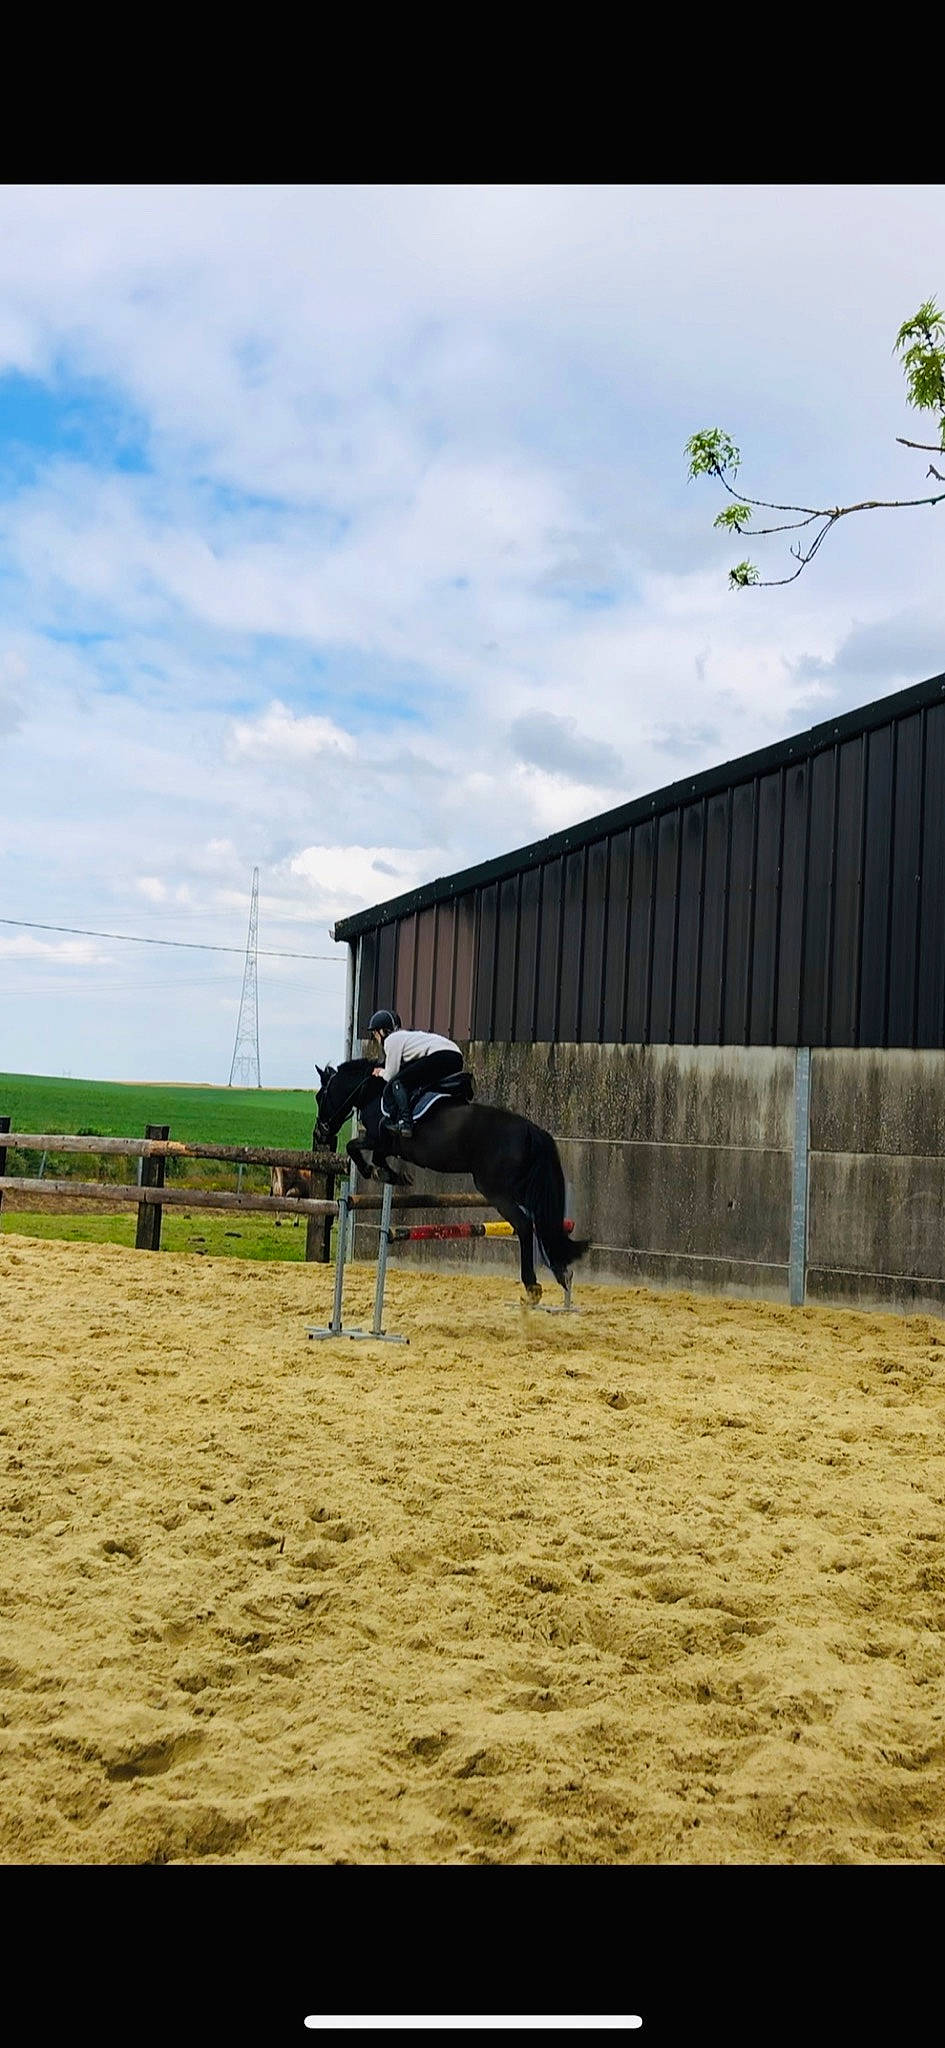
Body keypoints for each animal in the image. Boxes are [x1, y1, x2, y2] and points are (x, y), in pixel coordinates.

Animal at [313, 1057, 589, 1304]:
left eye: (320, 1096)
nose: (320, 1133)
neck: (372, 1092)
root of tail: (531, 1129)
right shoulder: (385, 1145)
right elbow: (376, 1157)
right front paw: (393, 1175)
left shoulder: (378, 1138)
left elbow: (353, 1146)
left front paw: (373, 1171)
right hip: (520, 1187)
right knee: (544, 1221)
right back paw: (561, 1272)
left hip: (494, 1189)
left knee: (524, 1224)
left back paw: (532, 1285)